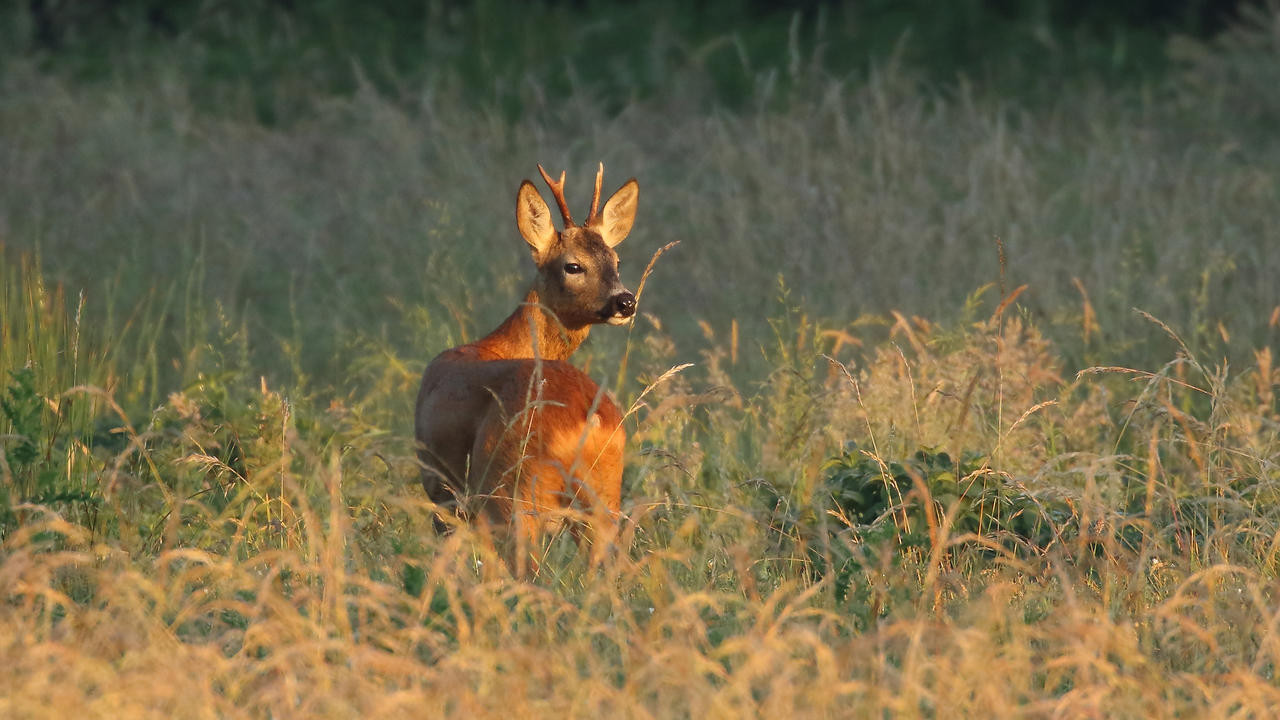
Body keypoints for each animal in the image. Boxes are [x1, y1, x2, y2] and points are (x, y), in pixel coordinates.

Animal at [414, 161, 640, 571]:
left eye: (616, 262)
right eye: (573, 266)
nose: (626, 301)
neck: (497, 344)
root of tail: (587, 421)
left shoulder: (441, 487)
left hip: (513, 493)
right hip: (604, 496)